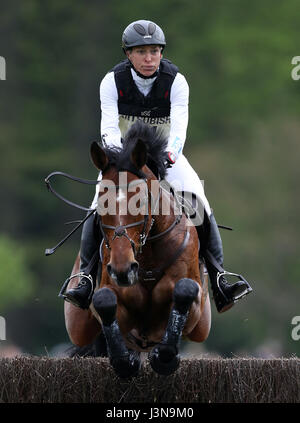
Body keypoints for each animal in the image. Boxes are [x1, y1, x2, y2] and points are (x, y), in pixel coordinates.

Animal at [65, 121, 211, 378]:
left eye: (141, 201)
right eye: (101, 203)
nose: (123, 270)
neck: (149, 255)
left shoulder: (195, 311)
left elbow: (184, 290)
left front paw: (164, 358)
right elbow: (104, 300)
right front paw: (125, 362)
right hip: (78, 325)